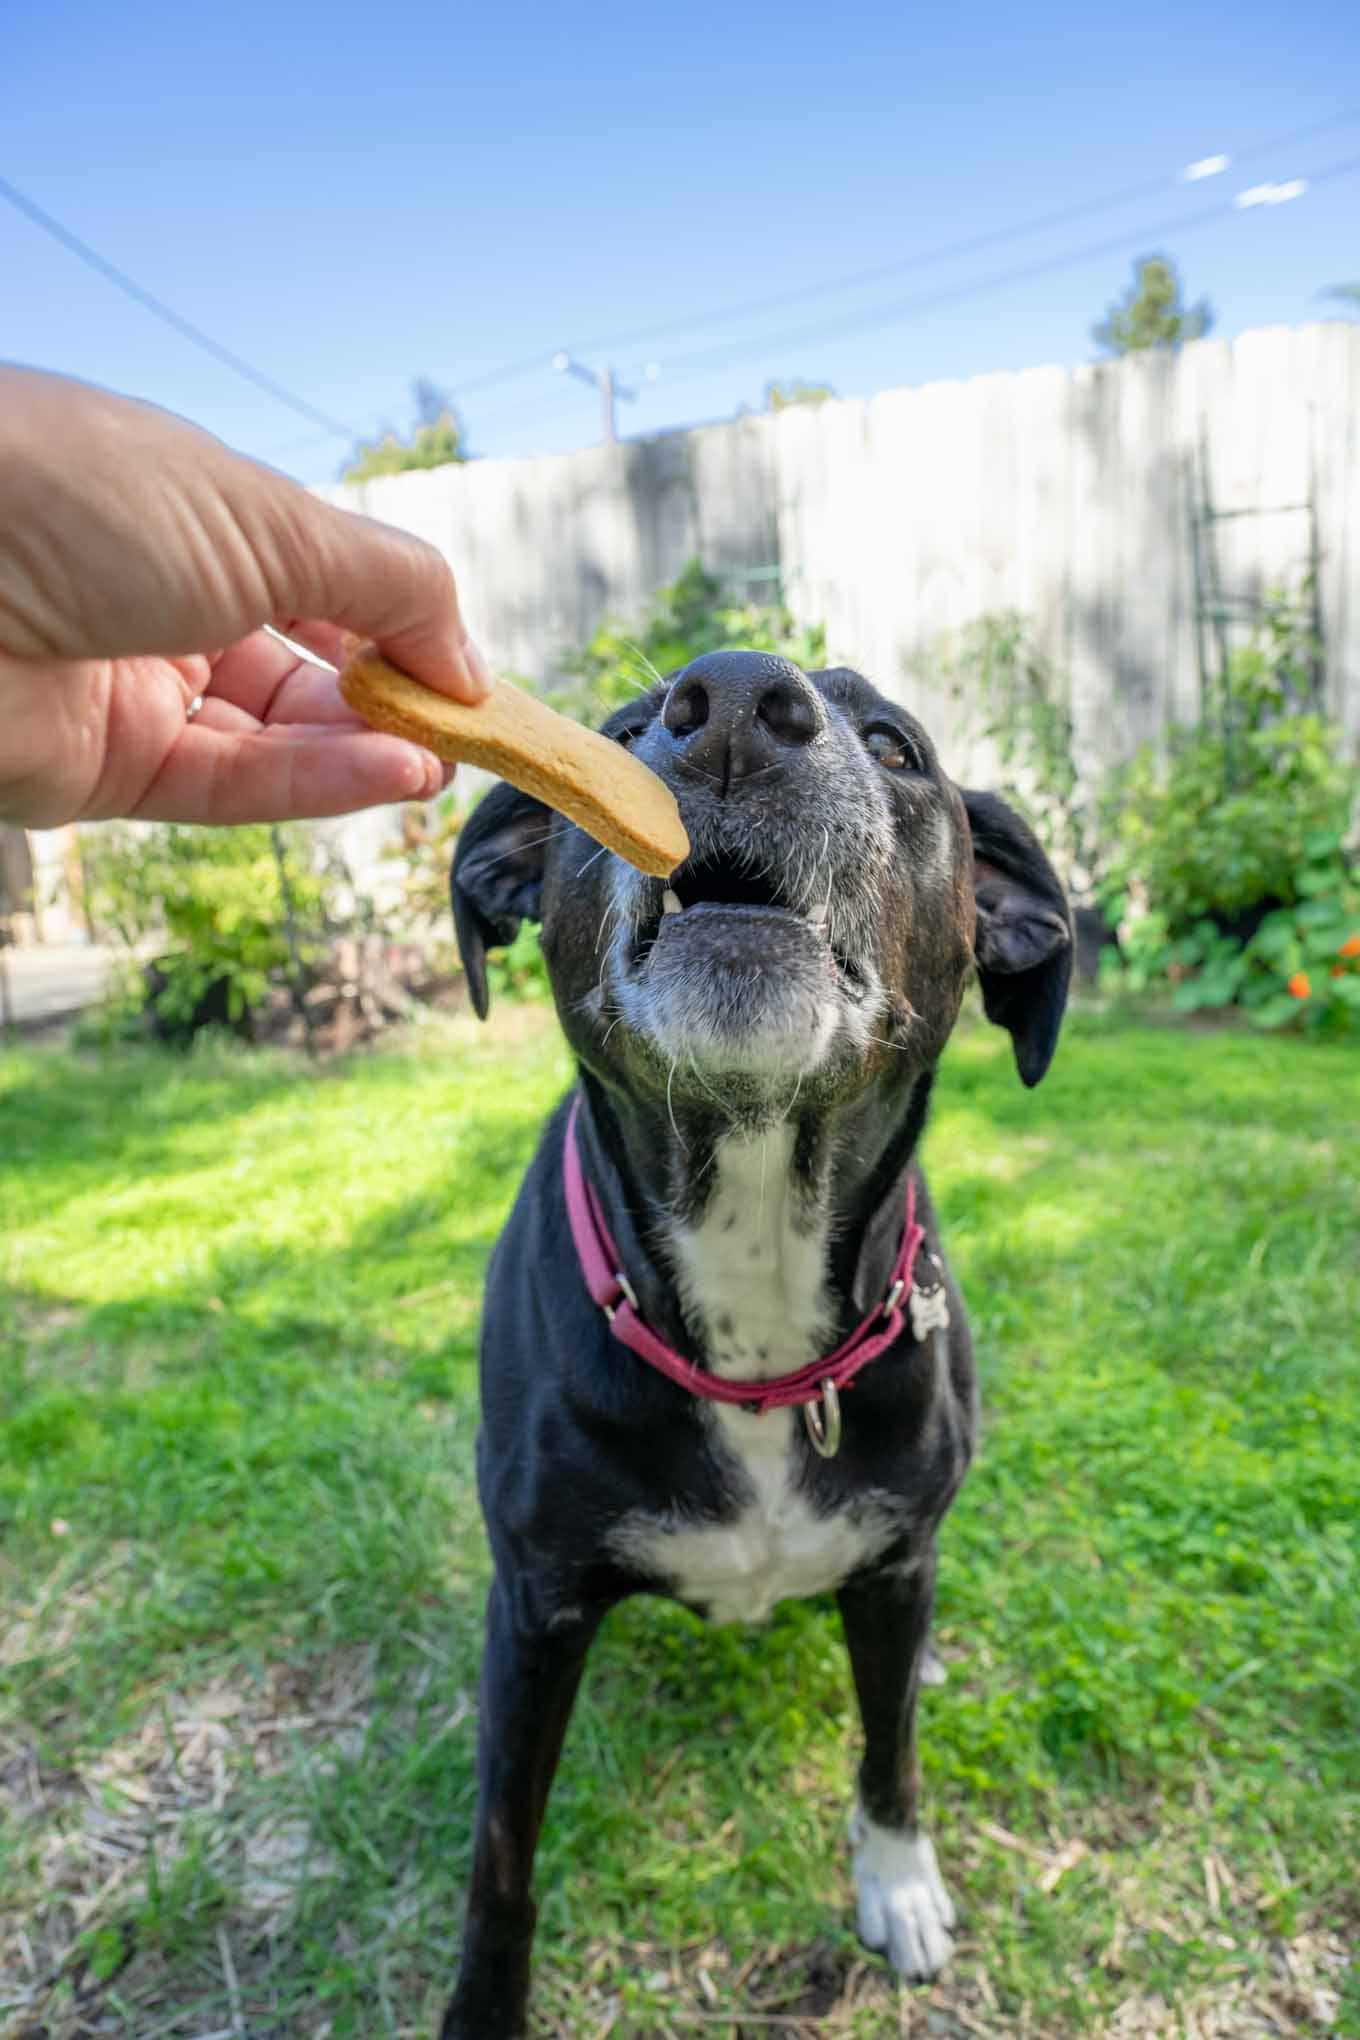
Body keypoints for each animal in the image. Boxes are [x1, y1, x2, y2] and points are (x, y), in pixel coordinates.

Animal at [442, 656, 1068, 2040]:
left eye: (892, 747)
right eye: (618, 735)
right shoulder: (537, 1607)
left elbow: (889, 1747)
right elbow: (501, 1859)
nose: (730, 700)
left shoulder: (895, 1562)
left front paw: (897, 1881)